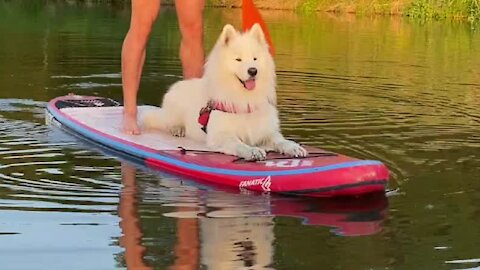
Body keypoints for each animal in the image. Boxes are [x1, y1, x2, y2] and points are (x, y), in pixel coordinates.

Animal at [142, 23, 308, 160]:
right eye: (238, 59)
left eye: (255, 58)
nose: (253, 71)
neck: (244, 99)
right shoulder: (221, 135)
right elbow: (238, 144)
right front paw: (252, 151)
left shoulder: (265, 132)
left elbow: (280, 140)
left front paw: (294, 147)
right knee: (166, 122)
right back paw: (177, 129)